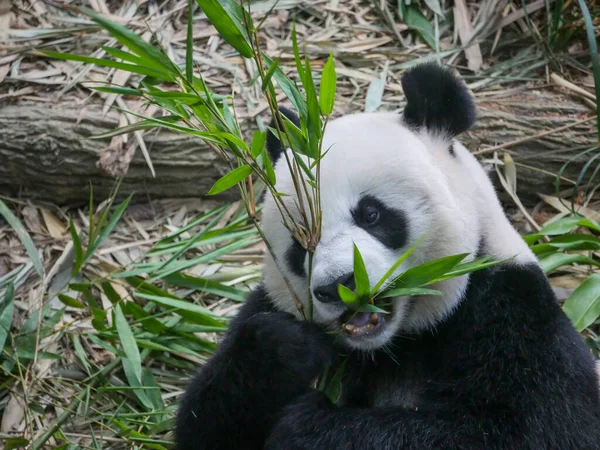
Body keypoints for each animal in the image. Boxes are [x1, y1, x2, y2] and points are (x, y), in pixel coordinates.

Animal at [173, 63, 600, 450]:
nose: (339, 284)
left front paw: (309, 429)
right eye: (301, 241)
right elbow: (201, 425)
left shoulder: (509, 308)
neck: (393, 345)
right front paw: (285, 348)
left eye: (372, 215)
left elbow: (533, 428)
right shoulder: (272, 302)